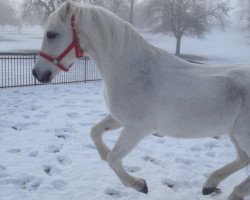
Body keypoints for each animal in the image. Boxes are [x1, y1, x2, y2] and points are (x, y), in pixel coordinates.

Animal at [32, 1, 250, 200]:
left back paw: (233, 192)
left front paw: (139, 185)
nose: (37, 73)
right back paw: (210, 185)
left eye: (51, 34)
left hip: (242, 136)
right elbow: (95, 133)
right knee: (243, 158)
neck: (134, 69)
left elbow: (113, 159)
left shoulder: (136, 129)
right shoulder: (119, 119)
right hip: (234, 134)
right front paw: (105, 154)